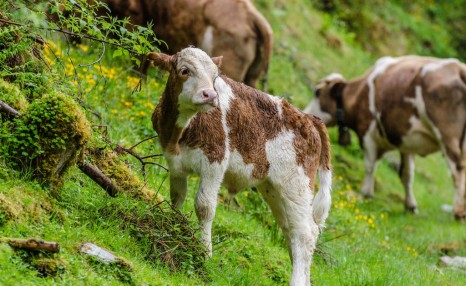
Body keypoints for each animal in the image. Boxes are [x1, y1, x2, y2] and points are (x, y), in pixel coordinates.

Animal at [149, 47, 332, 284]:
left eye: (214, 76)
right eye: (184, 70)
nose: (211, 95)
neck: (180, 132)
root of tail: (309, 118)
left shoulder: (215, 162)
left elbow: (204, 207)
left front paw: (204, 253)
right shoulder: (176, 164)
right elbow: (177, 198)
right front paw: (173, 226)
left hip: (296, 185)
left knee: (306, 233)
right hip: (273, 189)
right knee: (291, 232)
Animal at [306, 55, 466, 219]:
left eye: (317, 92)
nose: (306, 113)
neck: (358, 93)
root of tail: (459, 68)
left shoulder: (367, 133)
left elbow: (370, 166)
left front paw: (366, 193)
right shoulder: (407, 142)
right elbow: (406, 175)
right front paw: (410, 206)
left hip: (447, 135)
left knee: (458, 169)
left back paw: (458, 212)